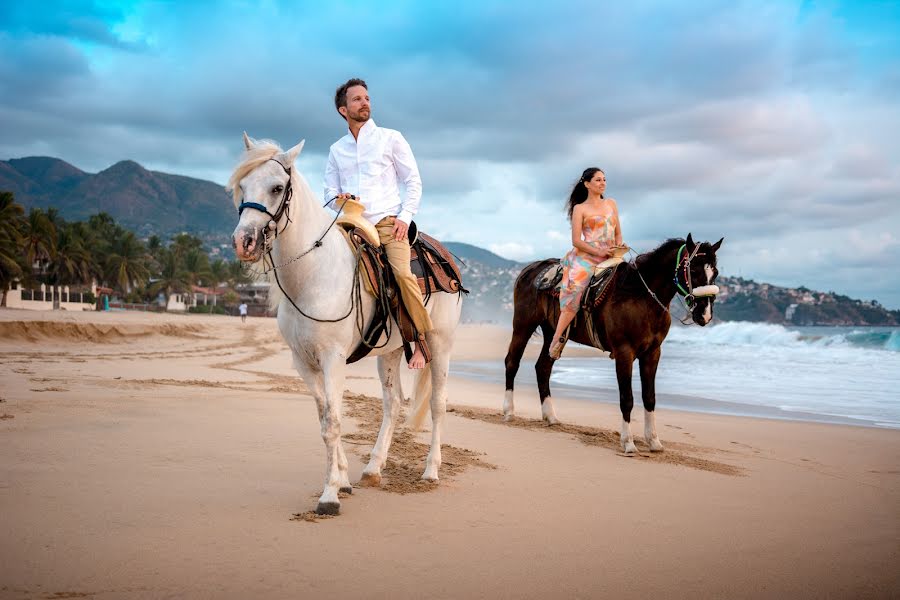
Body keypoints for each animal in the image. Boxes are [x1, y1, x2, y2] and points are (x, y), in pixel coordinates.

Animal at [229, 135, 460, 516]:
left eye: (277, 187)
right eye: (242, 186)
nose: (243, 242)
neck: (313, 274)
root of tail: (444, 256)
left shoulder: (333, 358)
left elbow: (334, 423)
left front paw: (329, 496)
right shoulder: (304, 362)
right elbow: (325, 418)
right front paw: (343, 480)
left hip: (440, 344)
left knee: (438, 404)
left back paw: (430, 471)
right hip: (391, 351)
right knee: (392, 403)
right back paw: (373, 468)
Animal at [506, 232, 724, 452]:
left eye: (715, 272)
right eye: (694, 270)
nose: (705, 314)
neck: (640, 297)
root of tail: (530, 268)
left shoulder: (653, 353)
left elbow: (649, 397)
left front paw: (653, 441)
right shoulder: (624, 352)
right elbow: (627, 399)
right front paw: (628, 442)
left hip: (554, 334)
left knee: (543, 367)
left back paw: (550, 416)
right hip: (523, 326)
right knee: (512, 362)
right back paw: (509, 411)